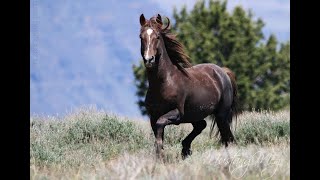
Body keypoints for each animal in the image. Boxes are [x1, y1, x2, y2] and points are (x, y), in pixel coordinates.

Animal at [138, 14, 238, 160]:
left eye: (157, 37)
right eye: (141, 36)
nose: (149, 60)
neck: (165, 82)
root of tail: (223, 72)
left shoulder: (177, 113)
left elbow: (160, 124)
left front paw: (161, 154)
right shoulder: (153, 116)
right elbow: (158, 132)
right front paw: (160, 156)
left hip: (221, 115)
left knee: (228, 138)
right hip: (195, 115)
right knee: (202, 126)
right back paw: (186, 149)